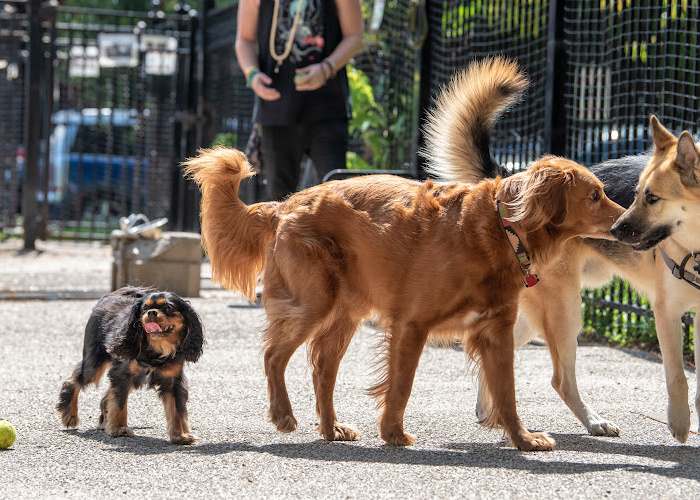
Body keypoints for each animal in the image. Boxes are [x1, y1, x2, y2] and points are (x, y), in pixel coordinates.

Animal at [56, 288, 204, 444]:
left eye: (168, 307)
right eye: (144, 308)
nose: (151, 312)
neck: (157, 349)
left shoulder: (173, 381)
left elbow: (176, 410)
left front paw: (180, 436)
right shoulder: (123, 374)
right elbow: (120, 403)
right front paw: (120, 429)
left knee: (107, 395)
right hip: (95, 364)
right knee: (73, 381)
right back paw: (70, 415)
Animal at [468, 116, 700, 442]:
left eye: (652, 198)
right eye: (637, 194)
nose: (617, 229)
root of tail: (516, 188)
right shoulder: (666, 312)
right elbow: (678, 377)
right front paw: (679, 423)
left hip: (542, 312)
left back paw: (488, 408)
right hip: (565, 310)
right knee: (560, 380)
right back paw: (594, 422)